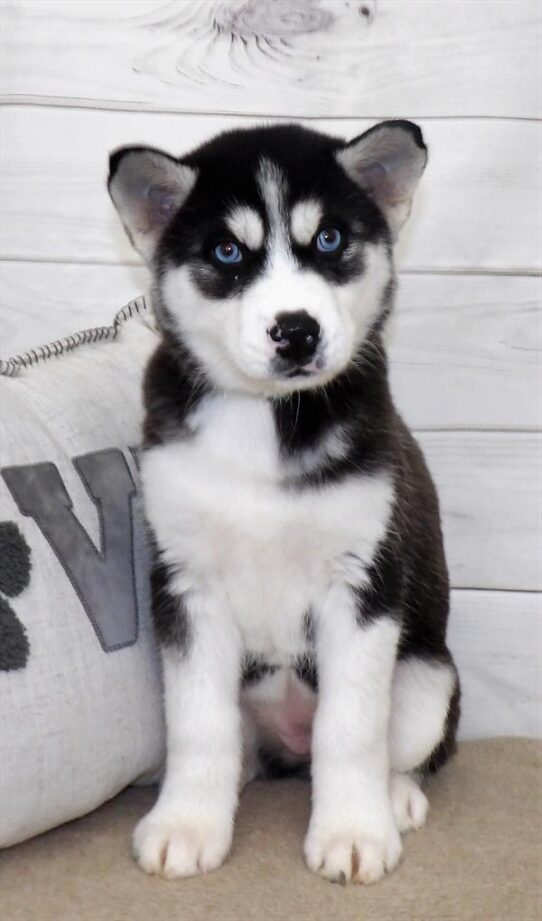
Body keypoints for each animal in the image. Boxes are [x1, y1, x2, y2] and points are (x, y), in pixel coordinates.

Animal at [109, 122, 460, 884]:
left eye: (328, 240)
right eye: (227, 252)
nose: (295, 330)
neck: (265, 420)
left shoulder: (362, 582)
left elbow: (350, 728)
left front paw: (354, 830)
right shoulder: (187, 583)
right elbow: (198, 725)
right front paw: (187, 824)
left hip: (428, 676)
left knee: (398, 744)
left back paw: (394, 796)